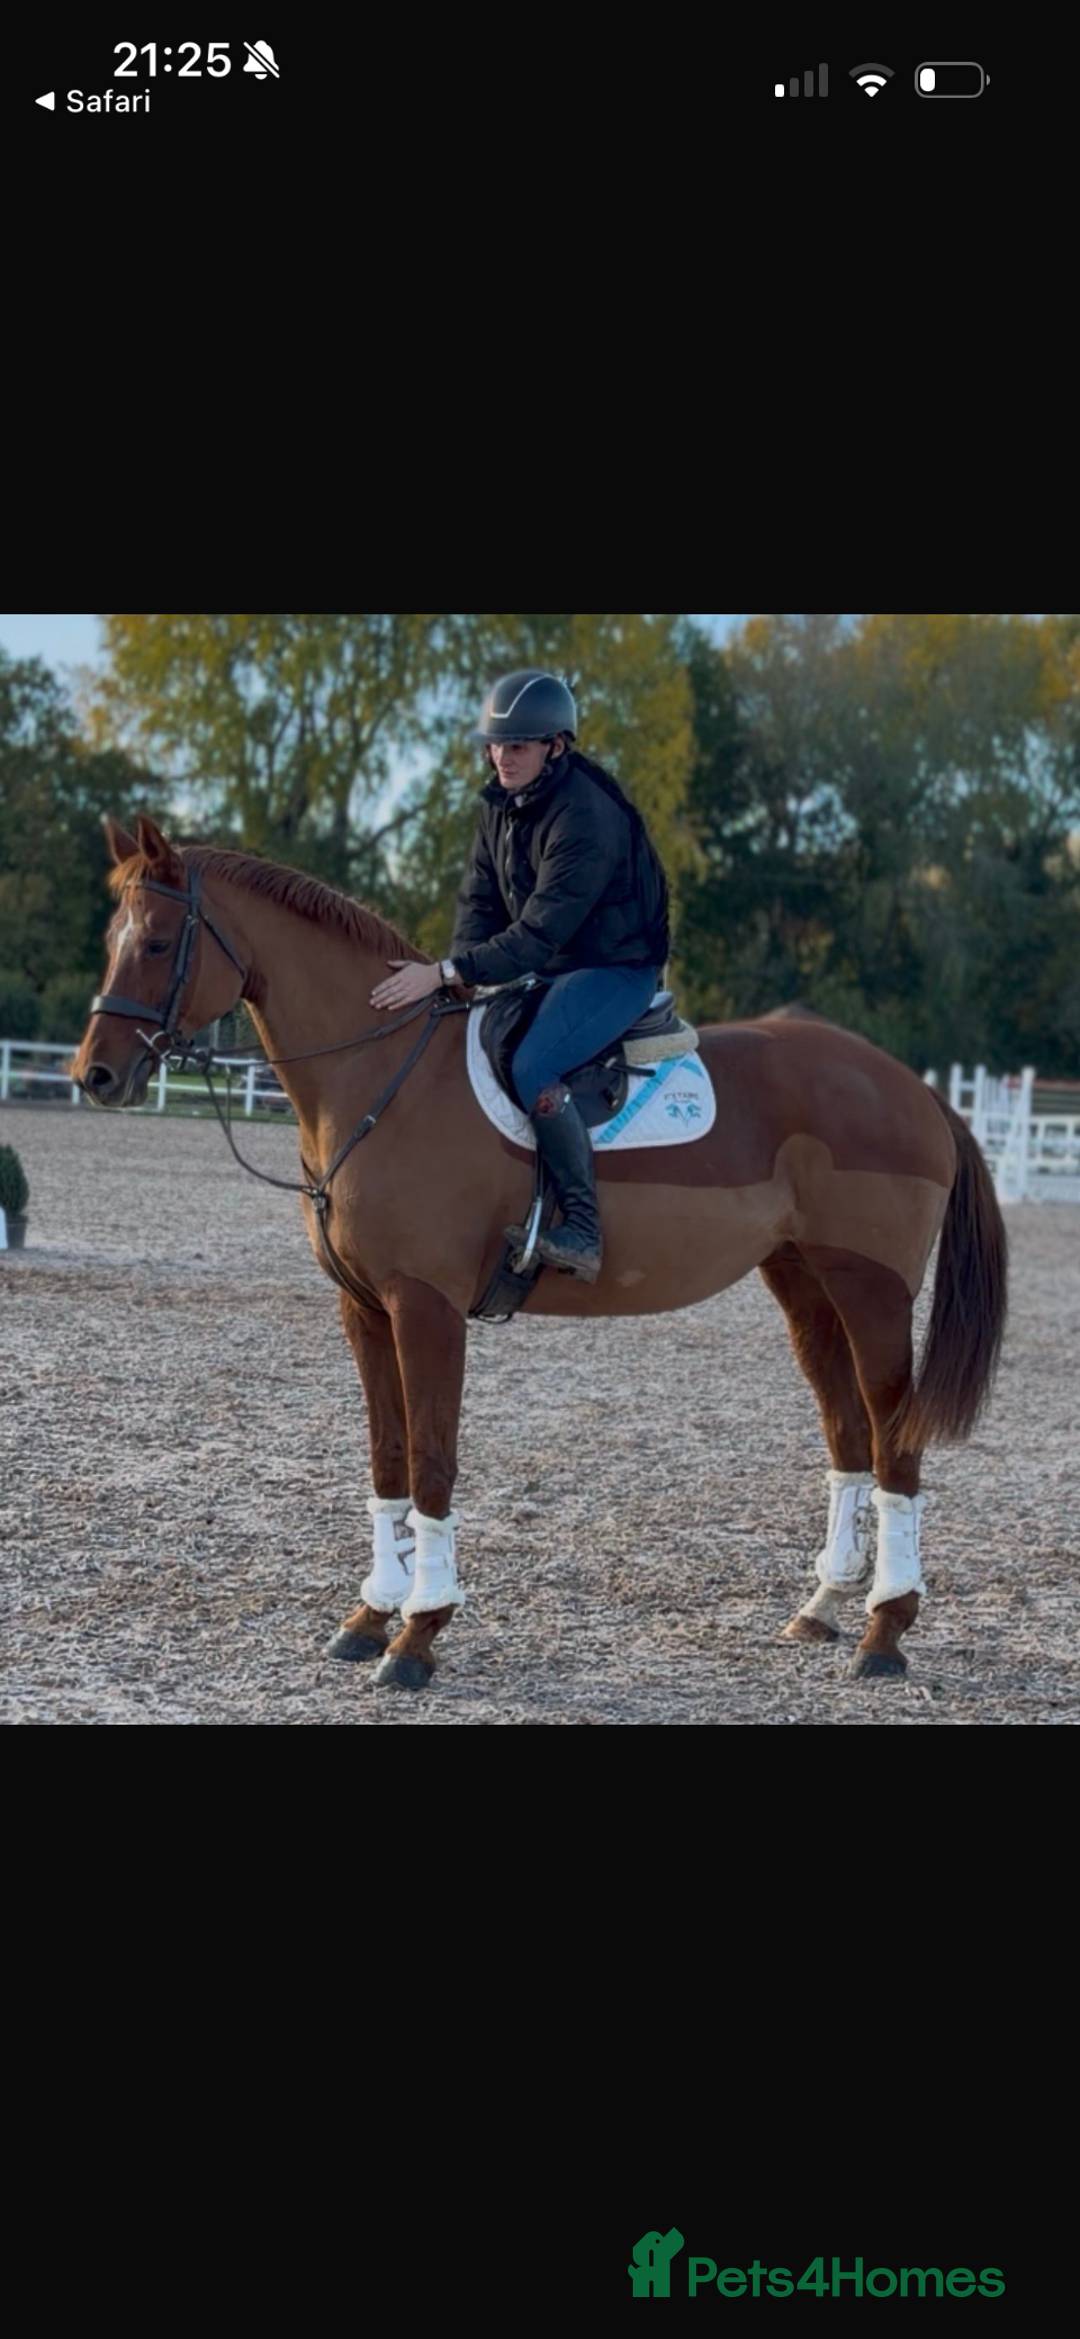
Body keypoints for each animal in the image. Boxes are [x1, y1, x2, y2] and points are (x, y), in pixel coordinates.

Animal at [71, 813, 1008, 1693]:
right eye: (115, 939)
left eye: (156, 942)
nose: (95, 1077)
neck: (385, 1074)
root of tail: (914, 1086)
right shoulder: (364, 1308)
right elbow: (386, 1458)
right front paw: (370, 1615)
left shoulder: (425, 1305)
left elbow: (433, 1463)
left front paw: (418, 1635)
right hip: (803, 1282)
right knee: (847, 1432)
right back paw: (823, 1605)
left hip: (872, 1289)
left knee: (894, 1440)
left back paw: (886, 1629)